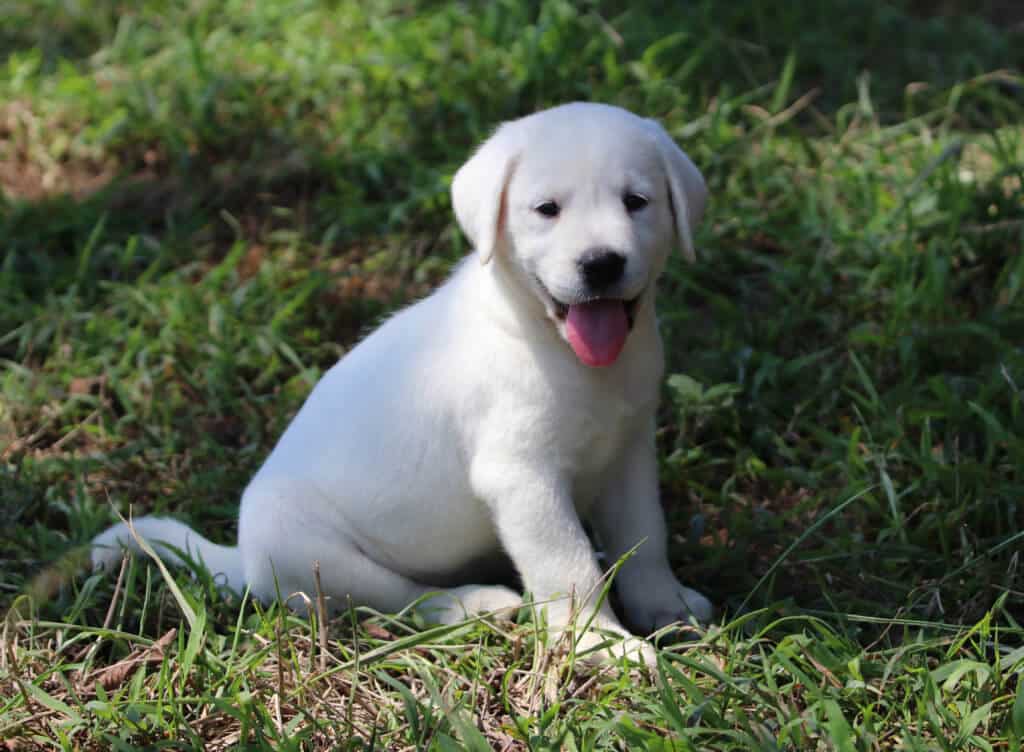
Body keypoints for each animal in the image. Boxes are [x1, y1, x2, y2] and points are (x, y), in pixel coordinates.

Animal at [94, 100, 712, 663]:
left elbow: (645, 537)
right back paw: (472, 605)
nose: (601, 264)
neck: (563, 351)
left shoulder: (628, 453)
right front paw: (599, 643)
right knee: (398, 600)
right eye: (546, 209)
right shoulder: (522, 475)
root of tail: (242, 560)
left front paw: (667, 606)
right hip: (314, 554)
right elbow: (569, 564)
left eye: (636, 202)